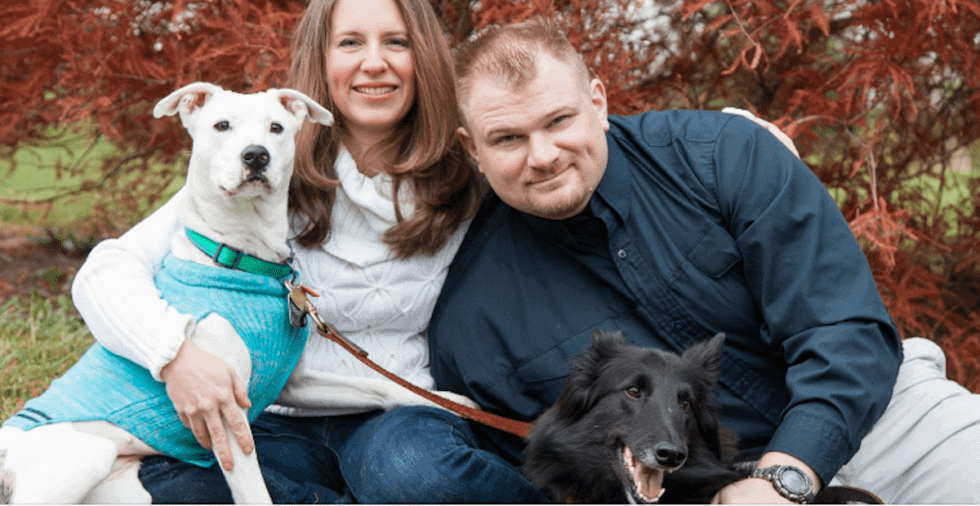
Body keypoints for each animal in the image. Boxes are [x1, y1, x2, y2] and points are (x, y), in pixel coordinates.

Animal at [0, 83, 334, 502]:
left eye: (277, 127)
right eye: (222, 125)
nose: (256, 155)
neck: (238, 258)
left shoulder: (297, 385)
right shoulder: (224, 411)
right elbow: (256, 493)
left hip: (127, 491)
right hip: (89, 452)